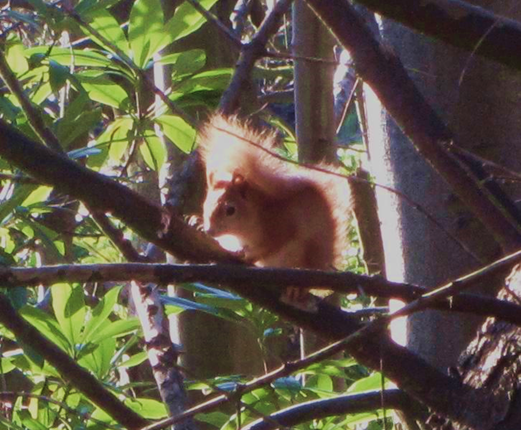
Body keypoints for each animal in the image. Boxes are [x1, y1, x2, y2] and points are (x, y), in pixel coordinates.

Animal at [198, 114, 350, 296]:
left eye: (230, 210)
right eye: (205, 205)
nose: (209, 231)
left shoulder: (280, 227)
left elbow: (270, 246)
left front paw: (247, 255)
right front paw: (195, 223)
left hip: (309, 254)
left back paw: (297, 288)